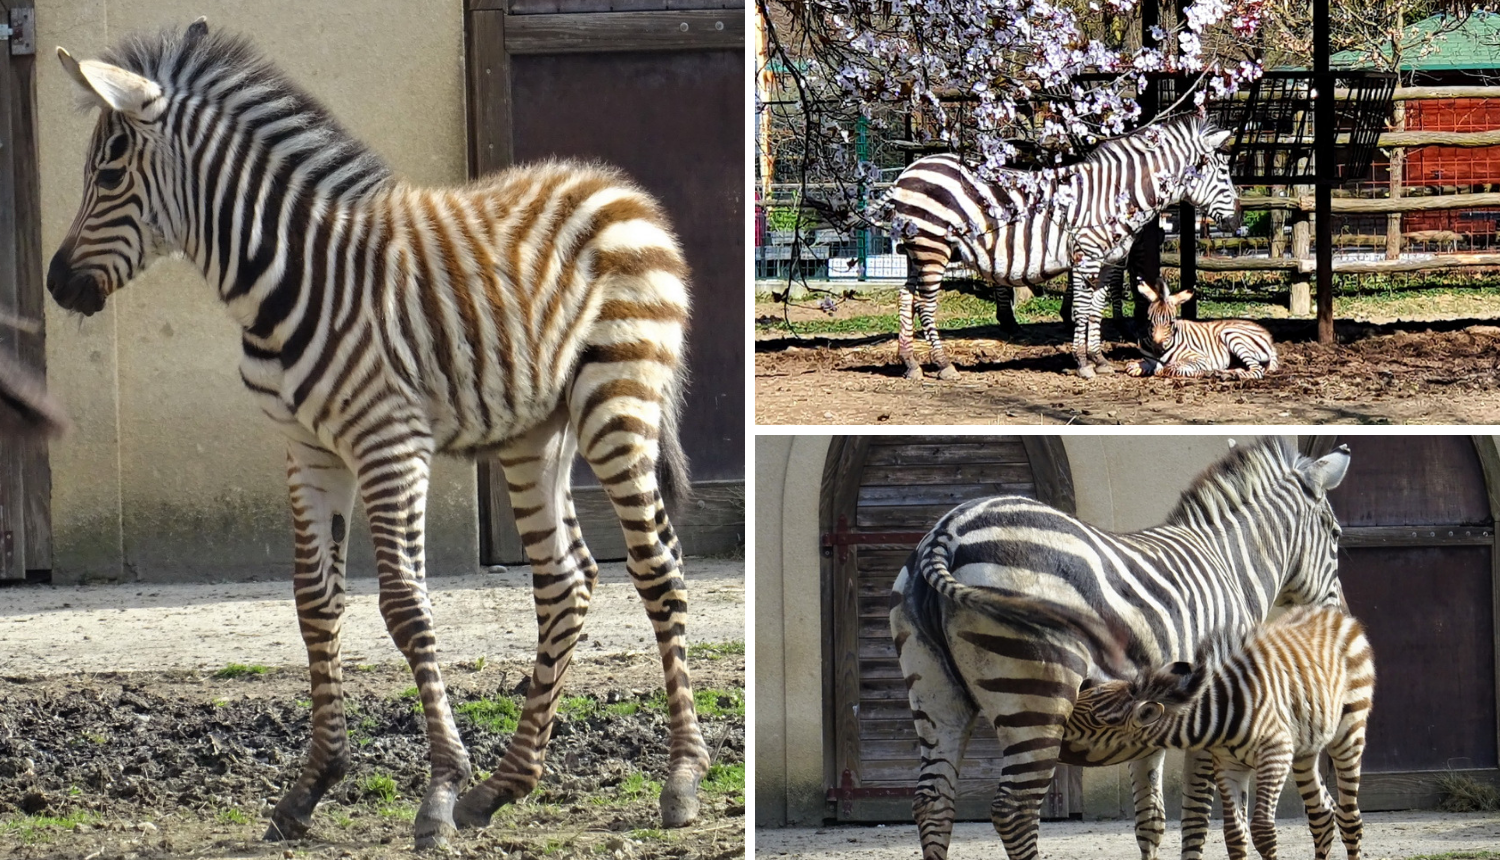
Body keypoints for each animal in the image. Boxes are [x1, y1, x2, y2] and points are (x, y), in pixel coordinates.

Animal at [42, 20, 708, 846]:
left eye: (106, 176)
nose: (55, 284)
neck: (283, 277)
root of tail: (619, 189)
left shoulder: (390, 444)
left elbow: (404, 605)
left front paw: (440, 792)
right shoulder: (307, 449)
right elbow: (314, 601)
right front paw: (312, 786)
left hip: (619, 399)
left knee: (657, 569)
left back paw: (680, 780)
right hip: (536, 429)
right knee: (566, 580)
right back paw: (507, 785)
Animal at [882, 114, 1236, 378]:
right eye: (1223, 173)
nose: (1235, 221)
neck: (1118, 195)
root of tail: (908, 171)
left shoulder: (1108, 261)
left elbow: (1096, 308)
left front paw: (1099, 360)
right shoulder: (1086, 255)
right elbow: (1081, 307)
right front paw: (1082, 363)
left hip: (917, 251)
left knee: (905, 297)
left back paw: (910, 364)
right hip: (932, 246)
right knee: (925, 304)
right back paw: (943, 366)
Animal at [1068, 603, 1374, 858]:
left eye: (1098, 721)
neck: (1224, 711)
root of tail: (1333, 614)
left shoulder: (1275, 754)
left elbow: (1263, 830)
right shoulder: (1228, 764)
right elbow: (1235, 835)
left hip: (1349, 732)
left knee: (1349, 817)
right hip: (1304, 750)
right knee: (1322, 814)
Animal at [1128, 277, 1278, 378]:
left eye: (1171, 322)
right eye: (1150, 321)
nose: (1157, 350)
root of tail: (1268, 336)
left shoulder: (1200, 358)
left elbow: (1169, 368)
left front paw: (1200, 372)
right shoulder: (1149, 360)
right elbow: (1130, 366)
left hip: (1232, 336)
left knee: (1256, 370)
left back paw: (1230, 375)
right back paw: (1225, 372)